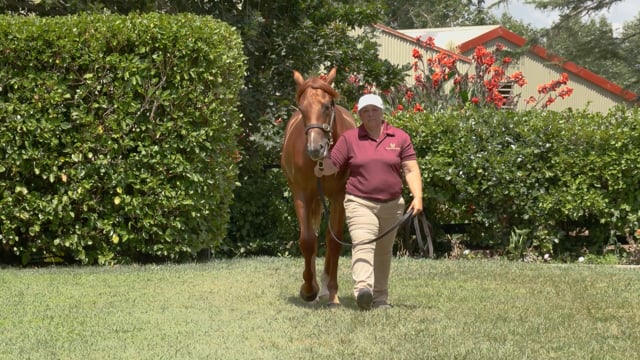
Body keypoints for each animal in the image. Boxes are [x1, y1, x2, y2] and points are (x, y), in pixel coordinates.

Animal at [282, 67, 358, 306]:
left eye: (327, 106)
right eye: (302, 108)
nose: (316, 148)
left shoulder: (338, 196)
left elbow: (333, 242)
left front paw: (331, 291)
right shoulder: (301, 195)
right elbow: (307, 241)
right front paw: (308, 289)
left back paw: (326, 288)